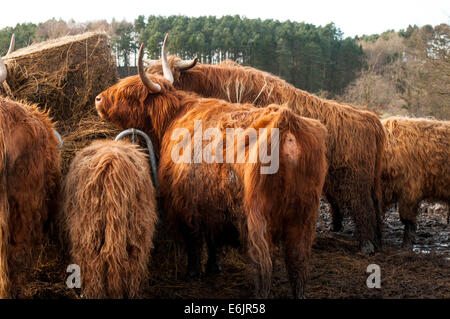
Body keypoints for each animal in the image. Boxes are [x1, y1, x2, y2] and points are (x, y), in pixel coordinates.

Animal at [96, 36, 326, 298]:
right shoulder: (211, 204)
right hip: (304, 218)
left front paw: (193, 271)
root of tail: (286, 123)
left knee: (264, 266)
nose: (98, 99)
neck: (175, 115)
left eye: (128, 93)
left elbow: (194, 241)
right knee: (298, 265)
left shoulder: (182, 203)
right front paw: (214, 266)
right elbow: (213, 238)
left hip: (258, 221)